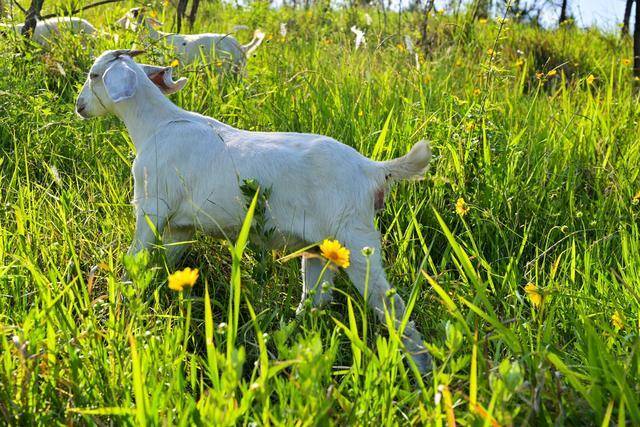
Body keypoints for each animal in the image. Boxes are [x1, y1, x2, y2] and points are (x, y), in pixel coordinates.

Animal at [75, 48, 436, 372]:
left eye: (94, 75)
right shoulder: (181, 226)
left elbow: (134, 260)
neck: (157, 126)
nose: (80, 107)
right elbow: (167, 265)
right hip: (321, 248)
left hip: (356, 237)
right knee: (316, 299)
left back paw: (422, 369)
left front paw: (120, 306)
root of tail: (371, 169)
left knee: (389, 303)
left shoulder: (152, 206)